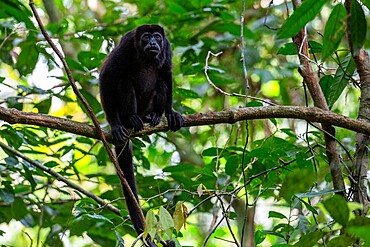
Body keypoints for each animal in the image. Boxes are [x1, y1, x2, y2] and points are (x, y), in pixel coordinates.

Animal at [99, 24, 183, 246]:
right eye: (146, 37)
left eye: (157, 37)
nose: (153, 42)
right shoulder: (127, 47)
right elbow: (107, 74)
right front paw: (115, 126)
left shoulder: (167, 47)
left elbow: (167, 74)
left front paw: (171, 113)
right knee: (124, 80)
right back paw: (131, 121)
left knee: (161, 82)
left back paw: (151, 117)